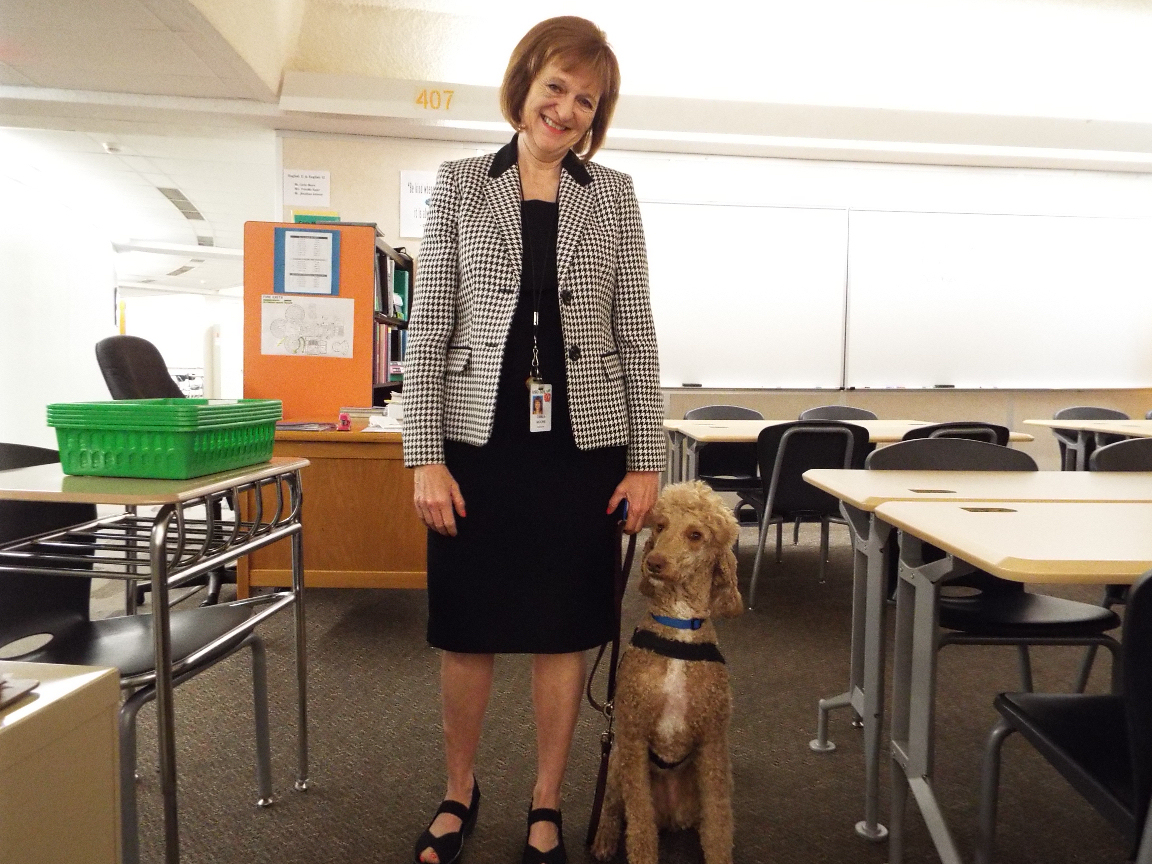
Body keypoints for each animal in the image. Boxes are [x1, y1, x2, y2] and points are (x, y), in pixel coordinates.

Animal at [591, 481, 743, 864]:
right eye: (659, 526)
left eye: (695, 535)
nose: (654, 563)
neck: (678, 625)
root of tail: (672, 816)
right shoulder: (632, 735)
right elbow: (640, 825)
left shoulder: (713, 742)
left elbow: (719, 824)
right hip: (616, 764)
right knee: (612, 808)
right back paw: (602, 841)